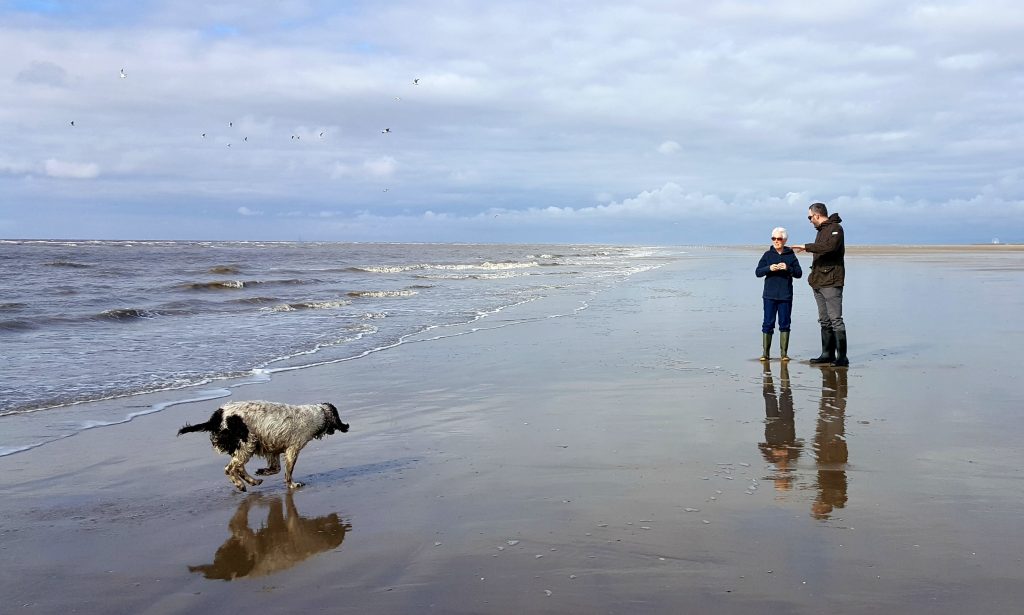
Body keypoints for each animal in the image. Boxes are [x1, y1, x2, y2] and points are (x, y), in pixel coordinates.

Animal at [178, 401, 350, 491]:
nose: (346, 426)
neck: (318, 415)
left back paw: (253, 481)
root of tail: (218, 416)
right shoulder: (292, 449)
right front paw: (292, 484)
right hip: (247, 443)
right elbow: (288, 472)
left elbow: (276, 468)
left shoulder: (273, 449)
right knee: (230, 469)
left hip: (246, 445)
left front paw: (263, 471)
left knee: (238, 467)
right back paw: (240, 484)